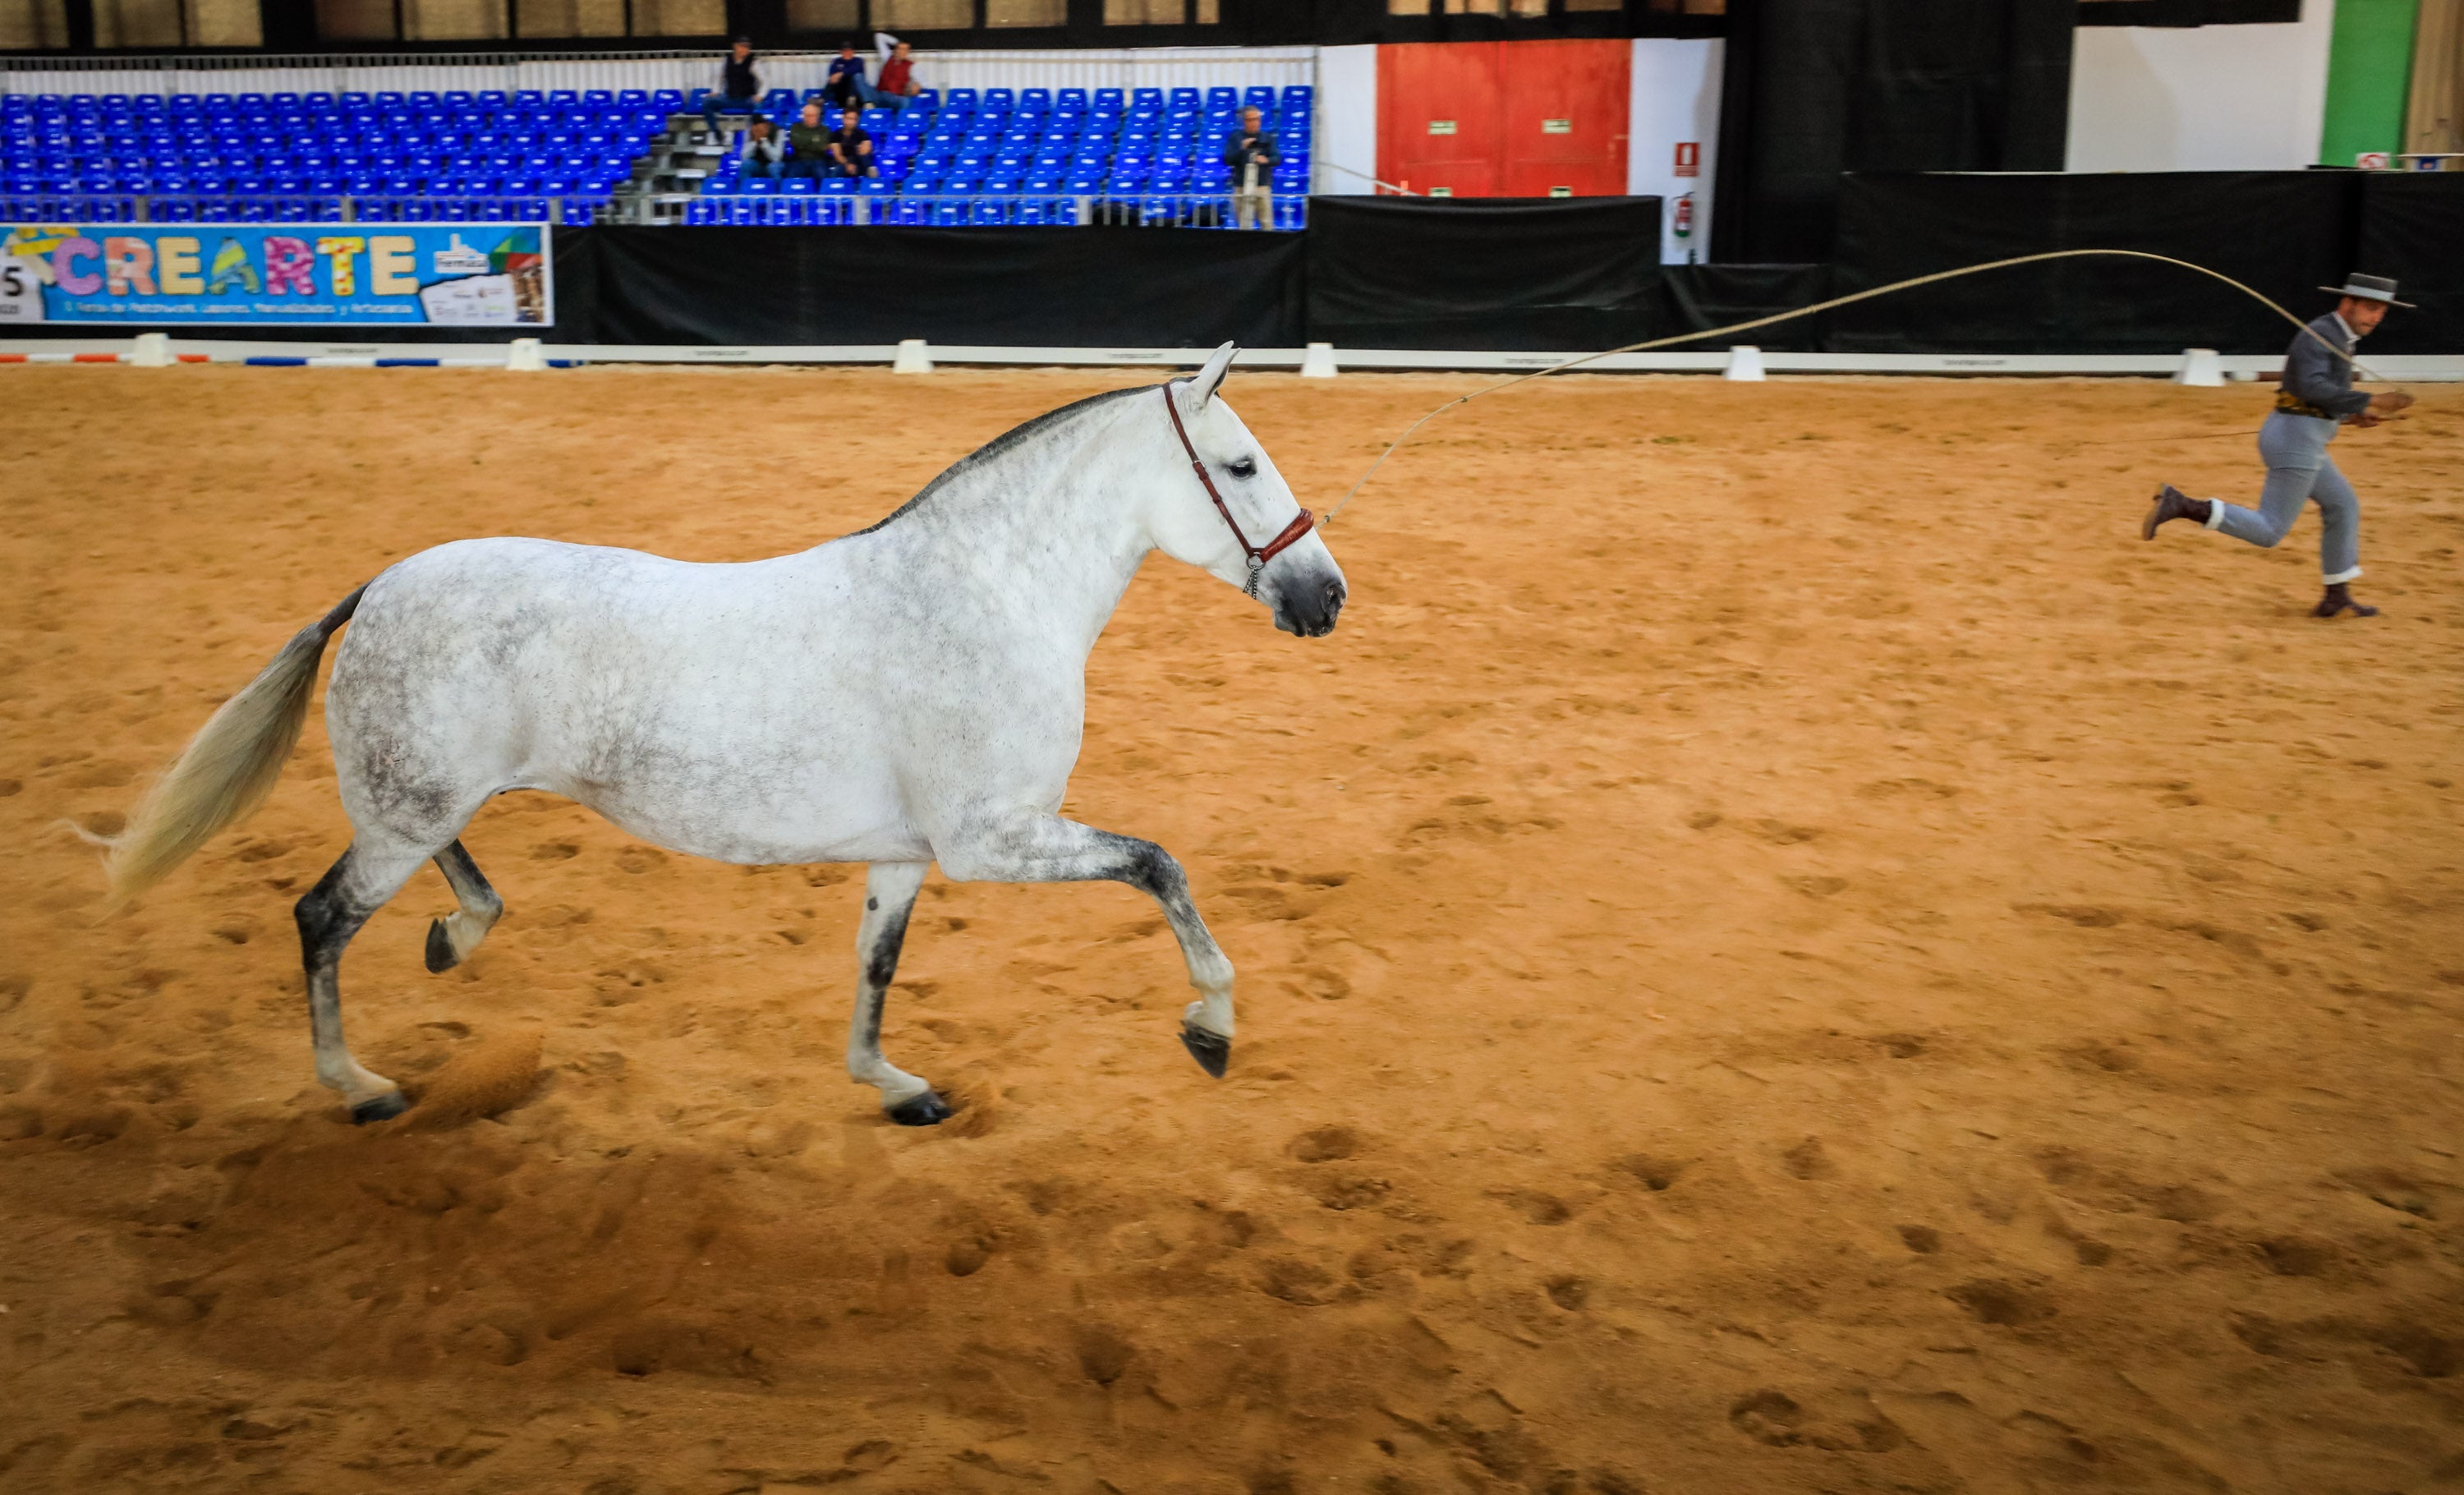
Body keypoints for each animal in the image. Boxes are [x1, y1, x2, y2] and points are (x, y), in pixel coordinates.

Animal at [106, 344, 1350, 1128]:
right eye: (1241, 465)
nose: (1325, 594)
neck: (978, 596)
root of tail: (378, 587)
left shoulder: (907, 856)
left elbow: (877, 965)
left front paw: (893, 1084)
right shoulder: (995, 839)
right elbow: (1160, 866)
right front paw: (1211, 1025)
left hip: (426, 800)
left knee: (439, 877)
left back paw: (454, 939)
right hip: (405, 810)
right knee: (320, 919)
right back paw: (359, 1084)